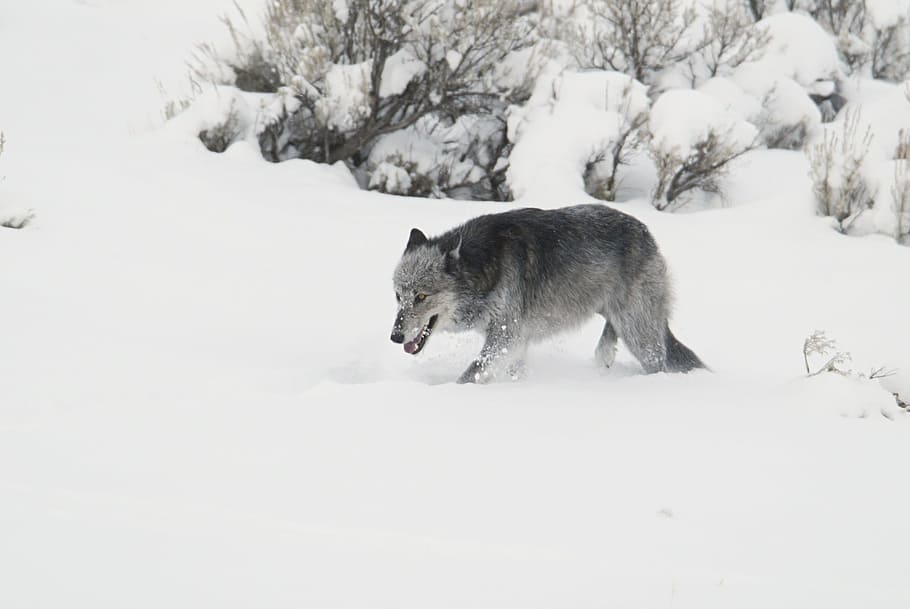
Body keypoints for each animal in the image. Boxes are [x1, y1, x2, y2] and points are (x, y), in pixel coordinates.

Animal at [390, 204, 704, 383]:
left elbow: (469, 374)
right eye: (398, 296)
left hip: (639, 334)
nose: (395, 336)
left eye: (421, 296)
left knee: (658, 362)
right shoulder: (513, 343)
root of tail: (647, 233)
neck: (484, 267)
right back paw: (603, 358)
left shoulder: (507, 337)